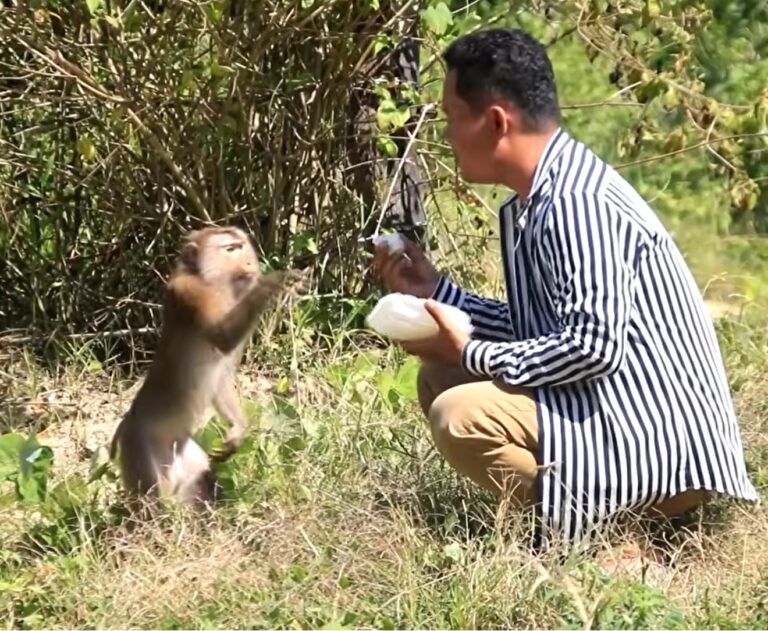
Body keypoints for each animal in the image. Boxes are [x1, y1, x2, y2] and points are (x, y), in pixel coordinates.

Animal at [109, 226, 306, 516]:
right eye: (230, 249)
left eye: (241, 246)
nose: (249, 263)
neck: (214, 282)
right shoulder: (191, 292)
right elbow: (223, 336)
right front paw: (273, 280)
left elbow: (221, 380)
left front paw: (238, 429)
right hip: (138, 448)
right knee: (151, 502)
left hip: (182, 451)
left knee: (201, 477)